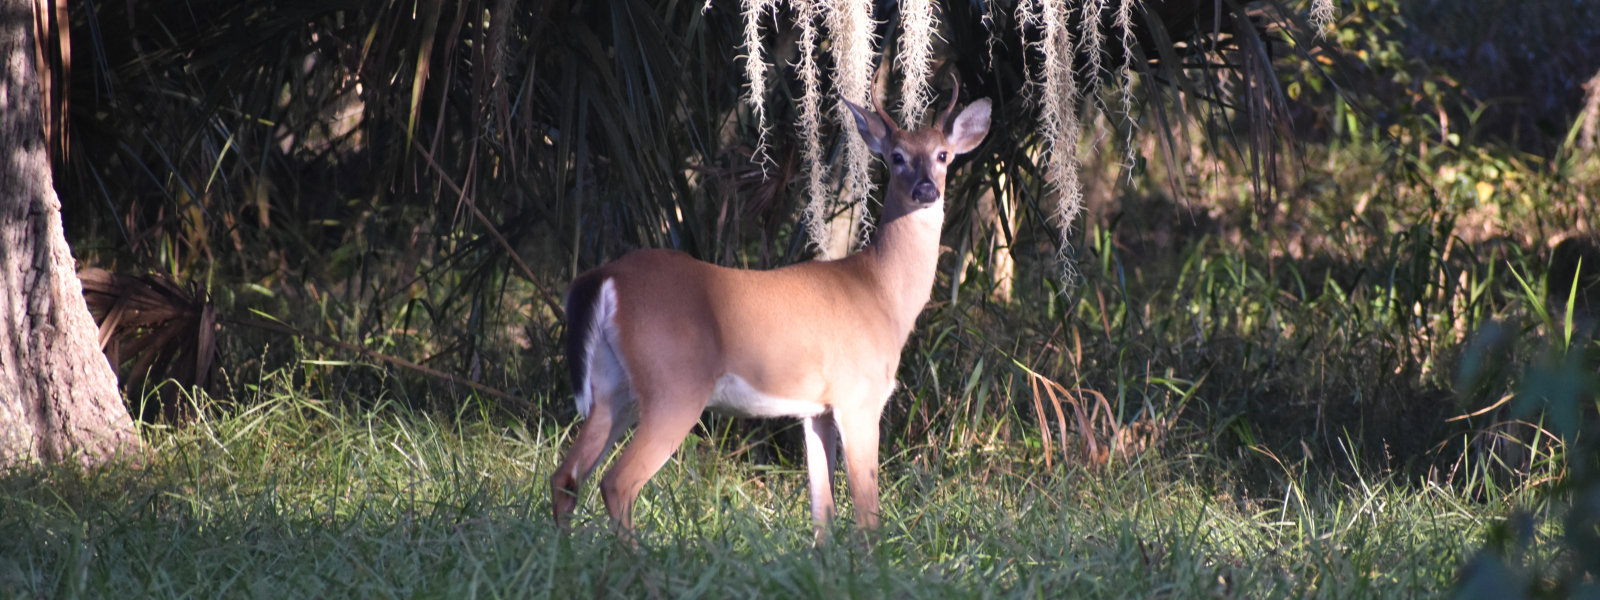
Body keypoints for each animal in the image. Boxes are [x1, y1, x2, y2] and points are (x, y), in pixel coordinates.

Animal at [556, 78, 992, 534]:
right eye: (897, 157)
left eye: (943, 155)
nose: (926, 189)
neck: (881, 292)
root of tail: (607, 277)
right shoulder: (859, 395)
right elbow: (867, 513)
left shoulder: (816, 409)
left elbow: (822, 512)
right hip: (674, 385)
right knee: (616, 482)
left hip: (613, 385)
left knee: (566, 476)